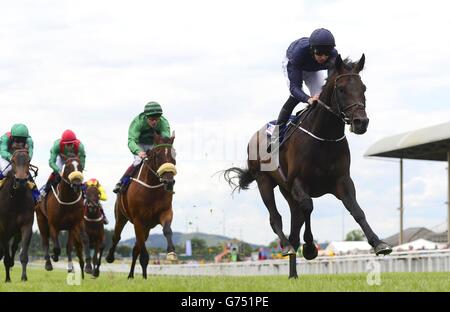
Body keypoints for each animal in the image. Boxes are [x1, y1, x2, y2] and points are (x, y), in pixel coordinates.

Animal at [0, 149, 34, 282]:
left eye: (28, 160)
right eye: (13, 160)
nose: (21, 180)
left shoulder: (26, 225)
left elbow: (23, 254)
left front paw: (24, 277)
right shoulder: (3, 228)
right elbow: (6, 255)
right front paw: (7, 279)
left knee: (14, 247)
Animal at [106, 134, 178, 278]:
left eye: (174, 155)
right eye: (158, 155)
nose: (169, 182)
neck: (152, 189)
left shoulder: (165, 212)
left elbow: (167, 230)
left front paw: (171, 253)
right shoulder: (138, 220)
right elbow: (143, 254)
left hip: (147, 227)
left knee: (136, 248)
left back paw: (132, 275)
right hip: (121, 216)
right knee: (117, 237)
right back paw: (110, 257)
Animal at [224, 54, 390, 280]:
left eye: (363, 88)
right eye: (341, 89)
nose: (360, 122)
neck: (324, 136)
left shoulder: (342, 182)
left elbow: (357, 211)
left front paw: (379, 243)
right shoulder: (299, 183)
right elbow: (309, 207)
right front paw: (310, 248)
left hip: (286, 191)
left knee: (294, 227)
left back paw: (293, 274)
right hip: (264, 181)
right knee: (276, 218)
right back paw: (286, 247)